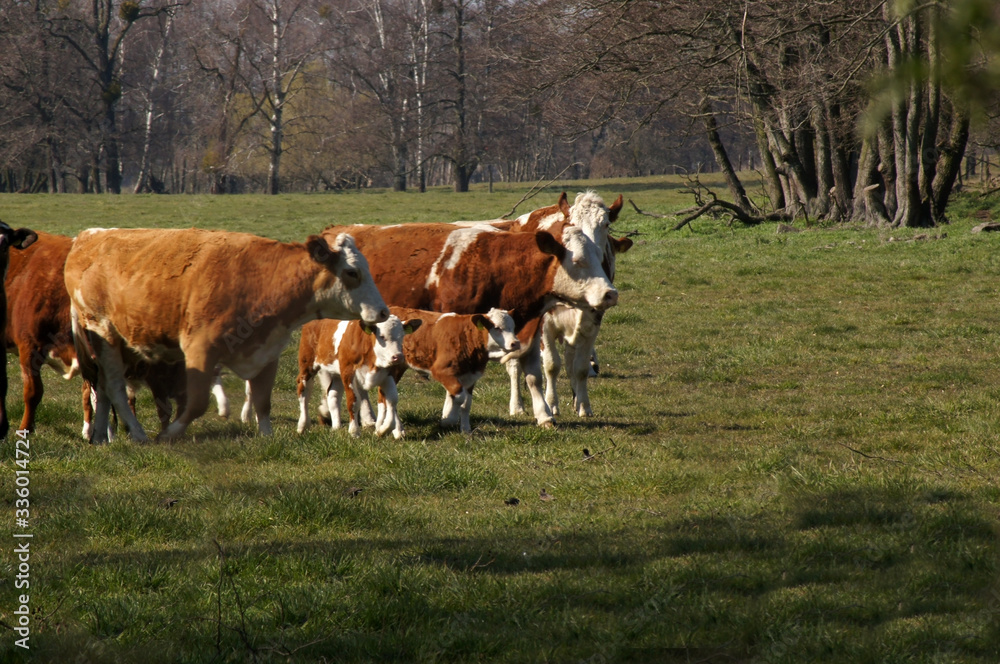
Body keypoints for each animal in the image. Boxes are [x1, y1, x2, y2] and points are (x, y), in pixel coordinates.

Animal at [64, 227, 388, 440]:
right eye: (352, 273)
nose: (383, 312)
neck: (262, 280)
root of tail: (87, 238)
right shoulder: (199, 350)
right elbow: (196, 404)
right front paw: (168, 434)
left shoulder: (266, 352)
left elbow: (262, 402)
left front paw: (266, 438)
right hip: (103, 333)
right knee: (116, 387)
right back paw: (139, 434)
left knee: (102, 386)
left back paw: (101, 437)